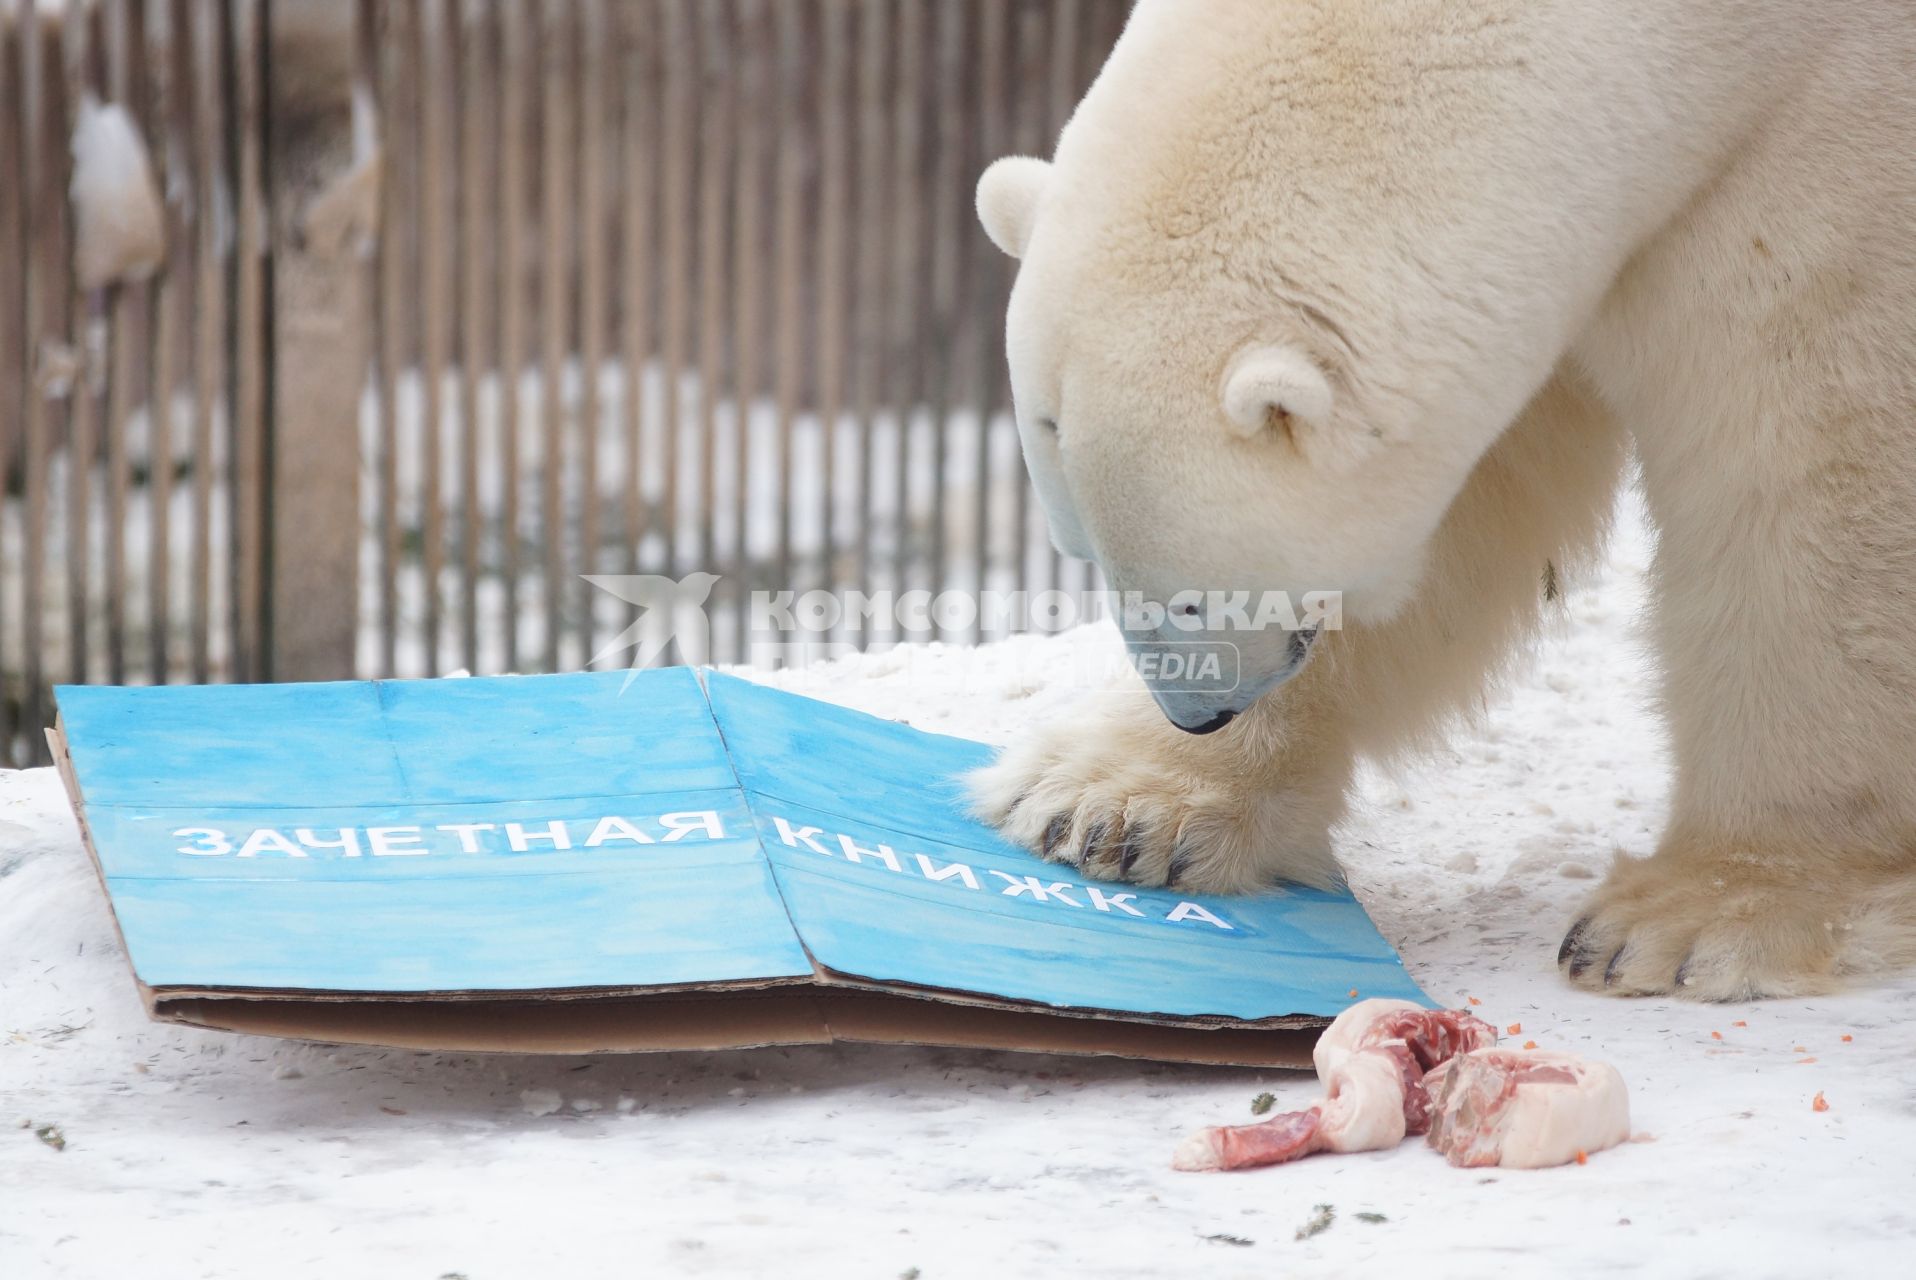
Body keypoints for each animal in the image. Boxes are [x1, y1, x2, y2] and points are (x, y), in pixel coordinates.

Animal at [965, 0, 1916, 996]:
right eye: (1086, 559)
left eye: (1193, 596)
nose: (1196, 716)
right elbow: (1473, 507)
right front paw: (1114, 809)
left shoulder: (1828, 147)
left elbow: (1817, 473)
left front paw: (1698, 914)